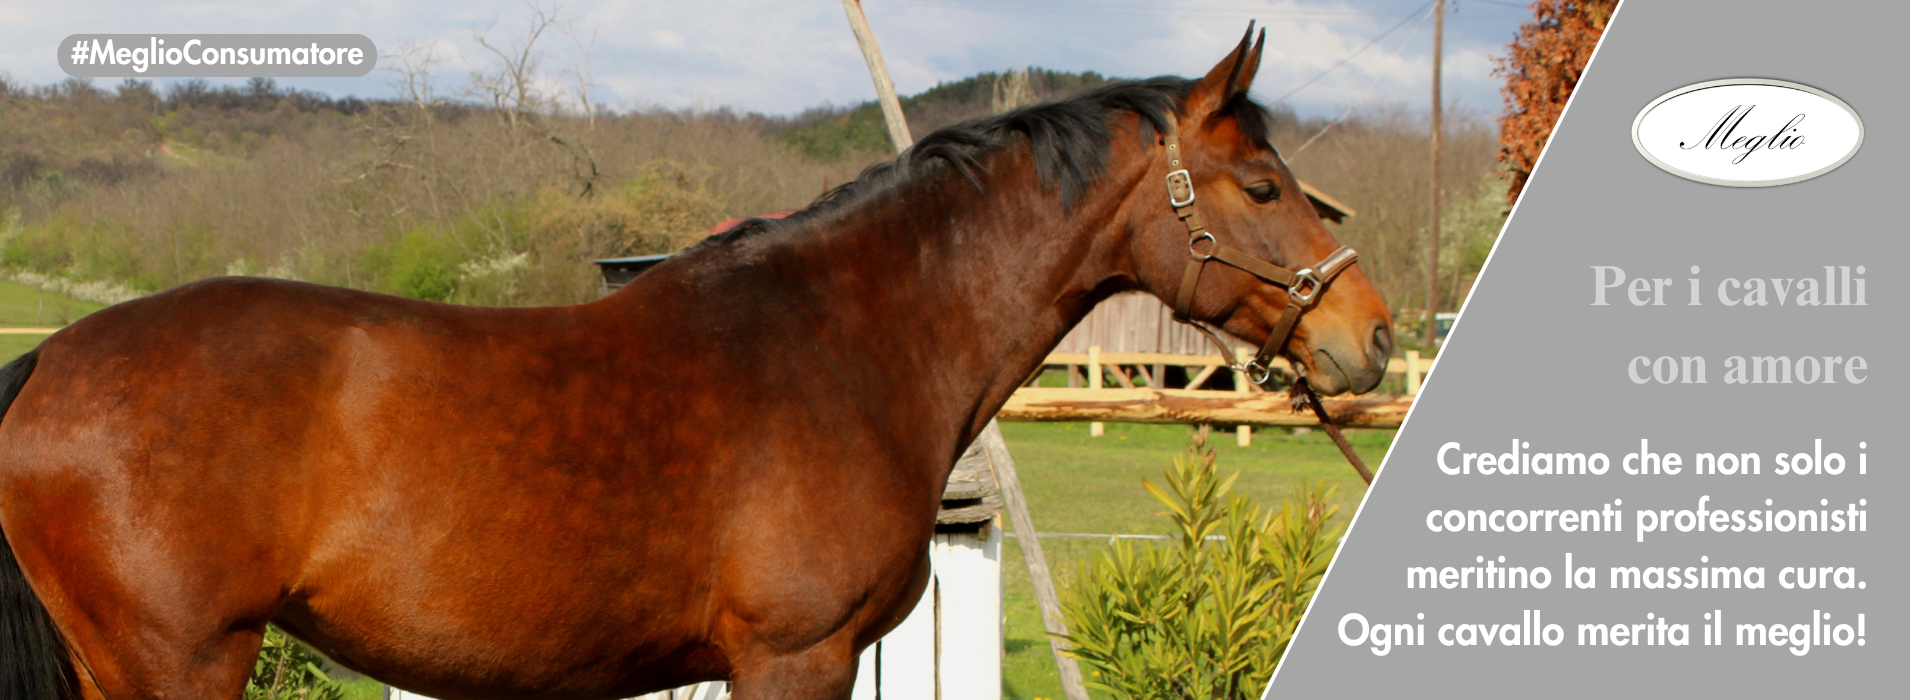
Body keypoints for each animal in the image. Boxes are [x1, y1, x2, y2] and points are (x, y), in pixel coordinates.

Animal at [0, 28, 1391, 700]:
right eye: (1261, 185)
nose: (1369, 334)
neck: (852, 341)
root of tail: (51, 364)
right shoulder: (794, 656)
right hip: (180, 661)